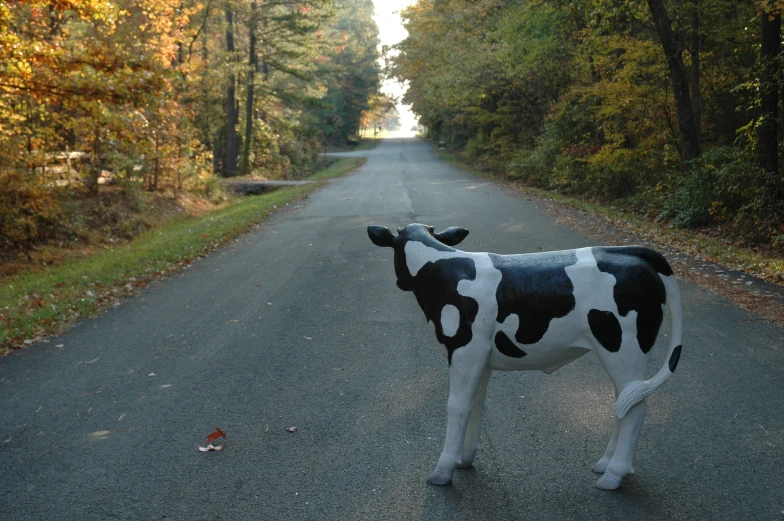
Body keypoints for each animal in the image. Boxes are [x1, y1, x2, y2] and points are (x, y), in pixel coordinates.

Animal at [366, 222, 680, 488]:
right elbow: (476, 404)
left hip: (623, 348)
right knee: (624, 400)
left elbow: (457, 406)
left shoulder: (464, 351)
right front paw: (464, 460)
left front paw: (443, 471)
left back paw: (613, 475)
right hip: (621, 355)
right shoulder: (480, 357)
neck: (441, 270)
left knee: (635, 408)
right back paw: (606, 464)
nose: (399, 283)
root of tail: (629, 251)